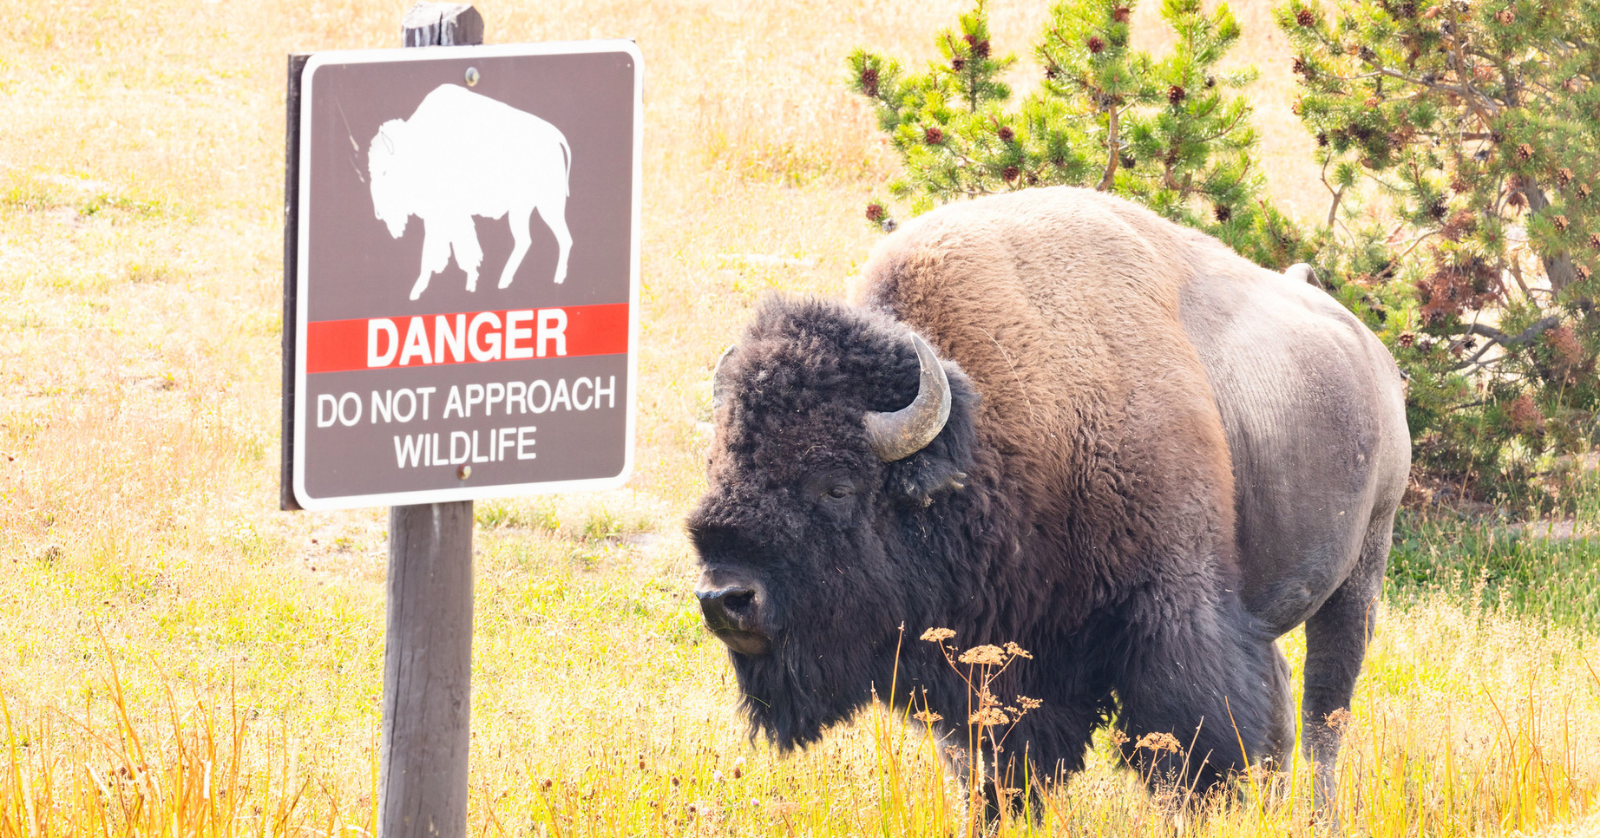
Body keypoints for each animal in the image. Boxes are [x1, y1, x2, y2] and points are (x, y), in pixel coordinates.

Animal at [688, 187, 1410, 814]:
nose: (726, 598)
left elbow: (1191, 746)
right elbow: (994, 765)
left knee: (1325, 711)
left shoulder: (1172, 617)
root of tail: (1372, 354)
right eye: (720, 466)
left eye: (837, 485)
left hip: (1361, 572)